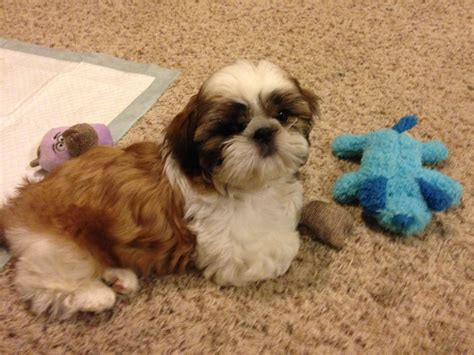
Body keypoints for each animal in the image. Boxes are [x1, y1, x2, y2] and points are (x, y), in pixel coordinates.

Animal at [0, 59, 318, 318]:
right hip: (60, 244)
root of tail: (18, 203)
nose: (264, 131)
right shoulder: (232, 250)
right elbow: (284, 247)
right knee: (42, 281)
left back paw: (120, 278)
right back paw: (95, 295)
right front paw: (292, 239)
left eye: (282, 115)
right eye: (230, 129)